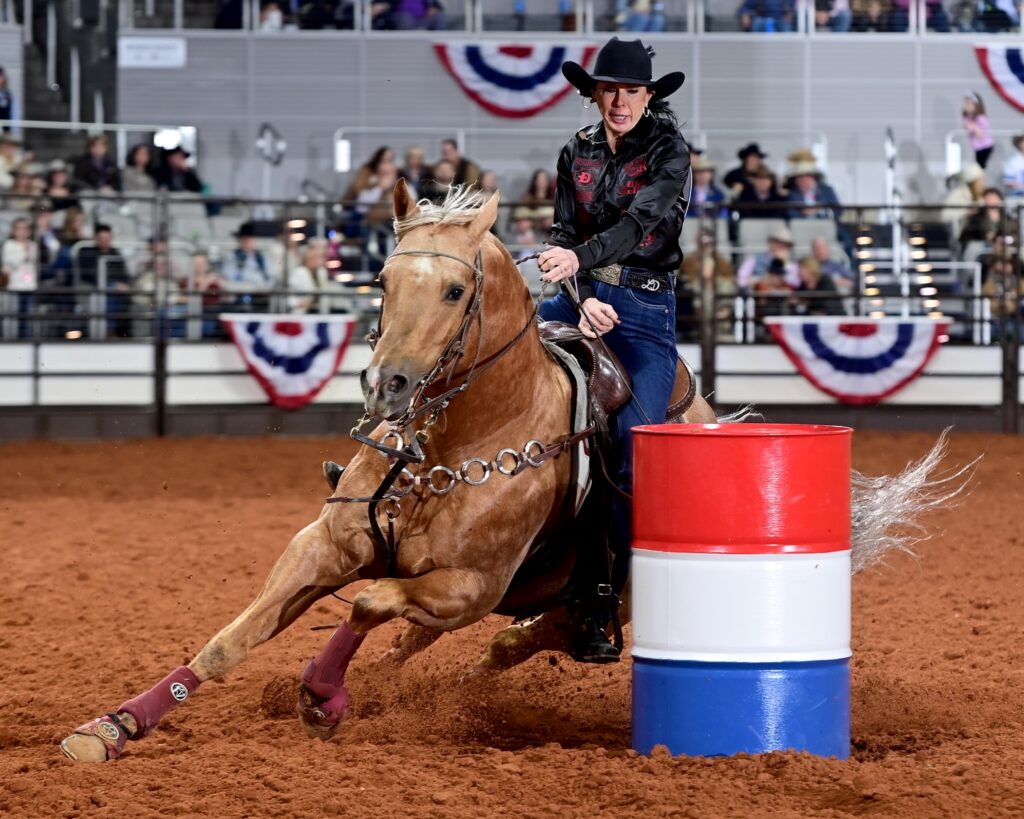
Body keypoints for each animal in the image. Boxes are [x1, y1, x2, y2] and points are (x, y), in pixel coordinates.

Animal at [59, 182, 962, 765]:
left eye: (457, 290)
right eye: (383, 278)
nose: (388, 385)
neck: (453, 441)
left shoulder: (470, 584)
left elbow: (369, 600)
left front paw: (322, 694)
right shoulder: (322, 544)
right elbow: (229, 641)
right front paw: (111, 729)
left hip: (596, 598)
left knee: (519, 637)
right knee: (448, 640)